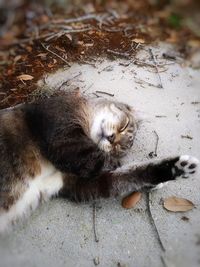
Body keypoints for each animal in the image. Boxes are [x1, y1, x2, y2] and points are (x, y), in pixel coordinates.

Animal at [0, 91, 198, 233]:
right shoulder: (65, 140)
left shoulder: (79, 183)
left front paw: (174, 169)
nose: (112, 139)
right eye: (124, 125)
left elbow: (129, 174)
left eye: (119, 148)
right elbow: (110, 163)